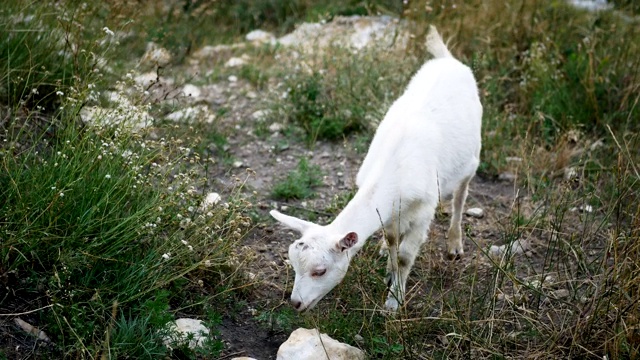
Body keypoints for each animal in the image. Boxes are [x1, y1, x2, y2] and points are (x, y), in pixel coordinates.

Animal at [270, 26, 480, 312]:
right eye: (293, 265)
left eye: (320, 271)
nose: (295, 303)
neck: (392, 171)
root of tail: (448, 59)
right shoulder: (390, 210)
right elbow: (392, 241)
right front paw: (389, 269)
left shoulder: (424, 209)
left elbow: (404, 256)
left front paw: (394, 301)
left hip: (472, 159)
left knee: (460, 197)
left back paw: (455, 244)